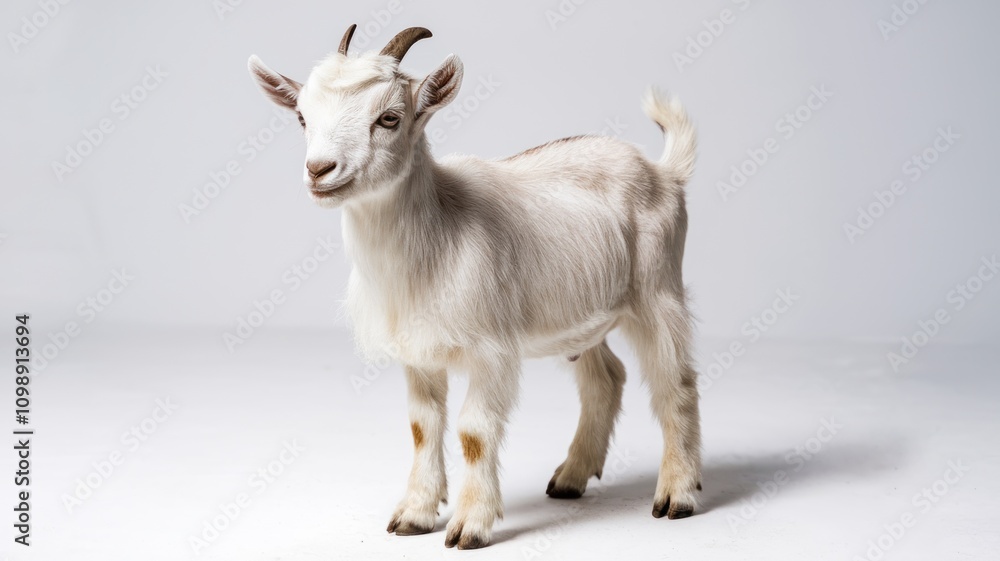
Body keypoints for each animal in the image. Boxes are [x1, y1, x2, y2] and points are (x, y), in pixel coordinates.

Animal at [248, 25, 701, 549]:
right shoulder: (418, 353)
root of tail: (664, 172)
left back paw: (677, 495)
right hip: (583, 316)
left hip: (657, 290)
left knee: (675, 382)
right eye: (302, 116)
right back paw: (570, 477)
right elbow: (422, 427)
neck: (441, 227)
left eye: (389, 117)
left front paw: (470, 525)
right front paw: (414, 515)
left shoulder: (490, 349)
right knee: (605, 379)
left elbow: (473, 432)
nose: (320, 170)